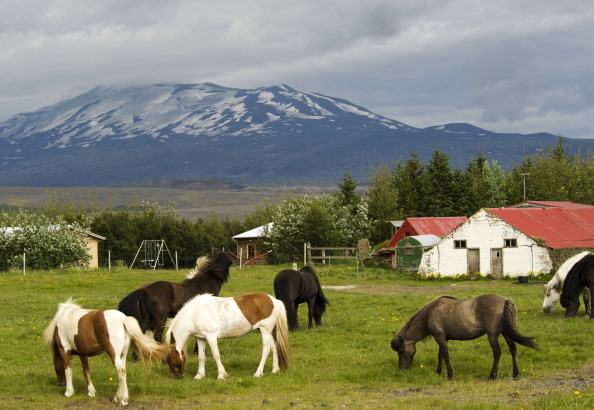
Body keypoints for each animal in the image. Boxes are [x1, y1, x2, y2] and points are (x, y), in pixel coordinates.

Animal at [388, 294, 536, 380]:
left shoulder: (440, 337)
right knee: (513, 349)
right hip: (505, 332)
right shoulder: (443, 338)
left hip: (492, 335)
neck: (430, 313)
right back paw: (515, 374)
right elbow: (440, 355)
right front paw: (438, 372)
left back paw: (492, 375)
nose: (403, 369)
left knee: (497, 352)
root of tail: (505, 300)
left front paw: (449, 375)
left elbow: (446, 355)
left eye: (401, 351)